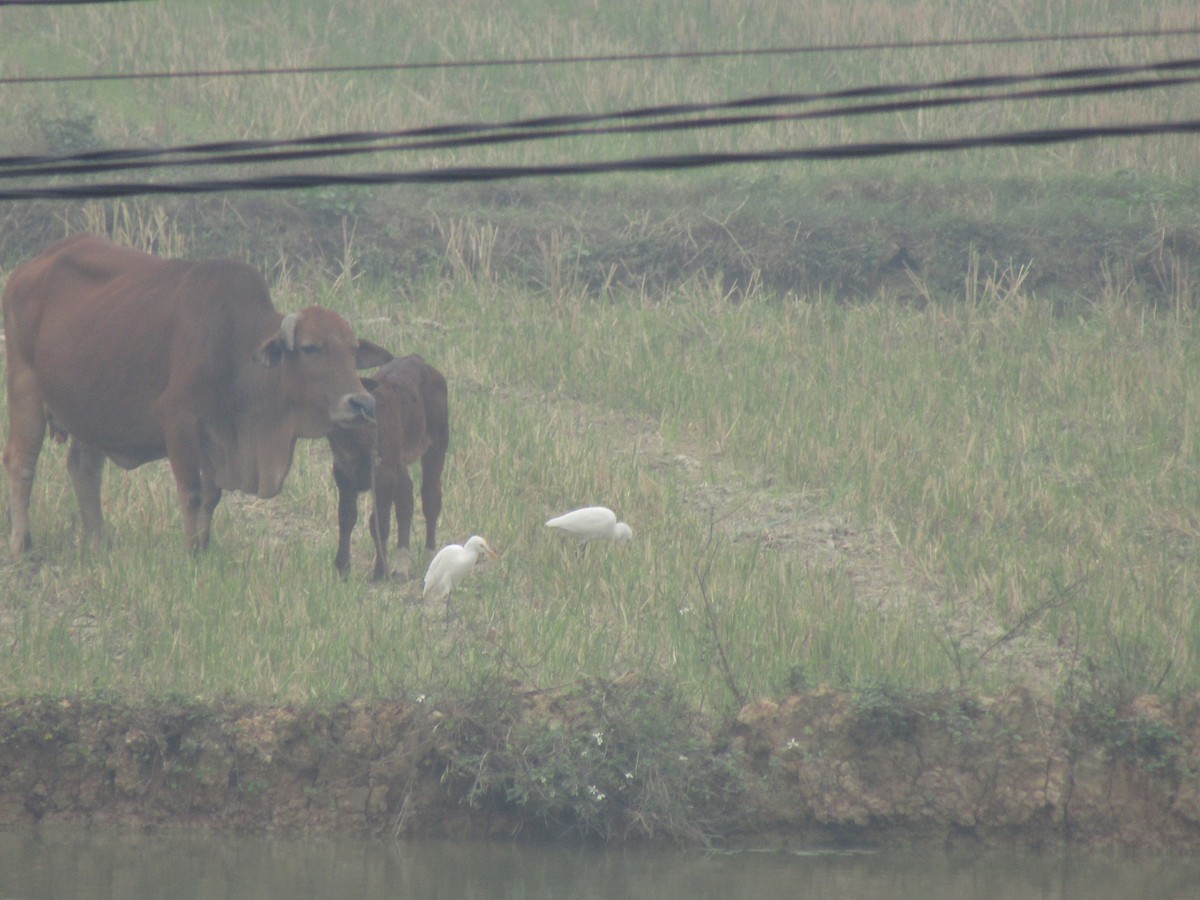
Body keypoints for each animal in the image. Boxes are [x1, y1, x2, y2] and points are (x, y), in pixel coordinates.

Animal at [2, 234, 393, 559]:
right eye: (311, 348)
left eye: (353, 350)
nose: (362, 403)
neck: (235, 344)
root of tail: (27, 269)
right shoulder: (179, 422)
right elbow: (191, 493)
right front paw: (191, 552)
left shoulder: (214, 440)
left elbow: (211, 496)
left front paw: (203, 549)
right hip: (26, 391)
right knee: (21, 464)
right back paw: (22, 546)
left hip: (90, 412)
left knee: (83, 469)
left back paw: (99, 541)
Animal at [327, 355, 448, 580]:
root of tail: (418, 359)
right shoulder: (342, 469)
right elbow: (346, 517)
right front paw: (343, 568)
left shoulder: (383, 471)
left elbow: (378, 522)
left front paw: (379, 572)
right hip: (399, 460)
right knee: (406, 499)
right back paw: (401, 565)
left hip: (437, 441)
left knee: (430, 497)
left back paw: (429, 556)